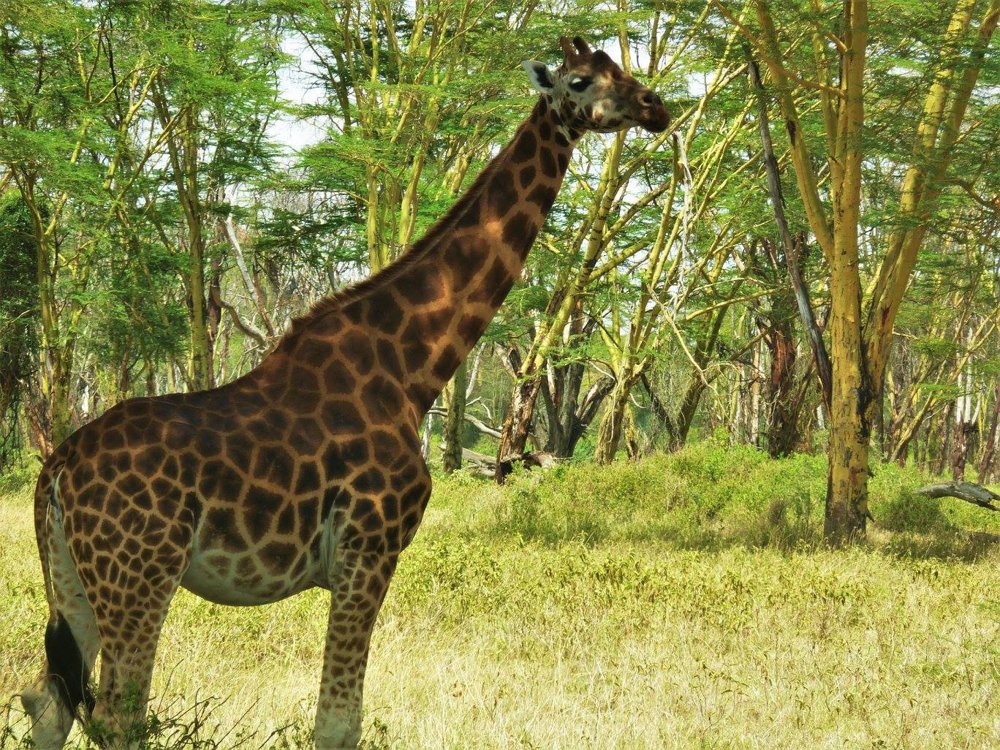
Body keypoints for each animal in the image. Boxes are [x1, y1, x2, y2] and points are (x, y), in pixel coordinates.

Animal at [20, 36, 669, 749]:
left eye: (623, 70)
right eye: (580, 81)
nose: (655, 107)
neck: (412, 369)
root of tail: (56, 468)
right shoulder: (369, 547)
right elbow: (337, 723)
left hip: (71, 580)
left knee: (48, 704)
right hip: (140, 574)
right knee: (118, 715)